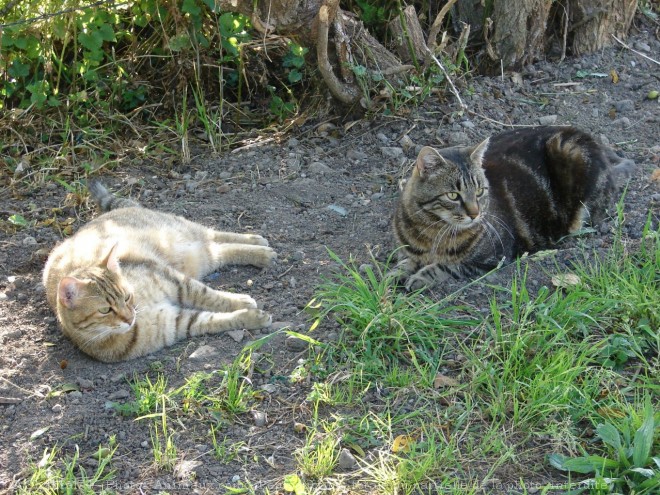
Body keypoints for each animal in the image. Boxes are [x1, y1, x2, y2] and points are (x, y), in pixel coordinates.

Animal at [43, 180, 276, 362]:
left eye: (126, 297)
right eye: (105, 310)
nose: (130, 317)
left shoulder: (176, 281)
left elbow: (210, 296)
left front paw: (240, 301)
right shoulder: (177, 322)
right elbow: (214, 319)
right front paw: (251, 316)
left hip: (183, 230)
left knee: (215, 234)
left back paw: (258, 244)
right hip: (201, 256)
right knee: (219, 248)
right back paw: (261, 251)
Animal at [392, 126, 636, 292]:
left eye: (479, 191)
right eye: (453, 195)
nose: (475, 214)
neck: (432, 229)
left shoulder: (491, 258)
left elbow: (446, 266)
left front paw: (420, 277)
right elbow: (407, 261)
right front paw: (395, 273)